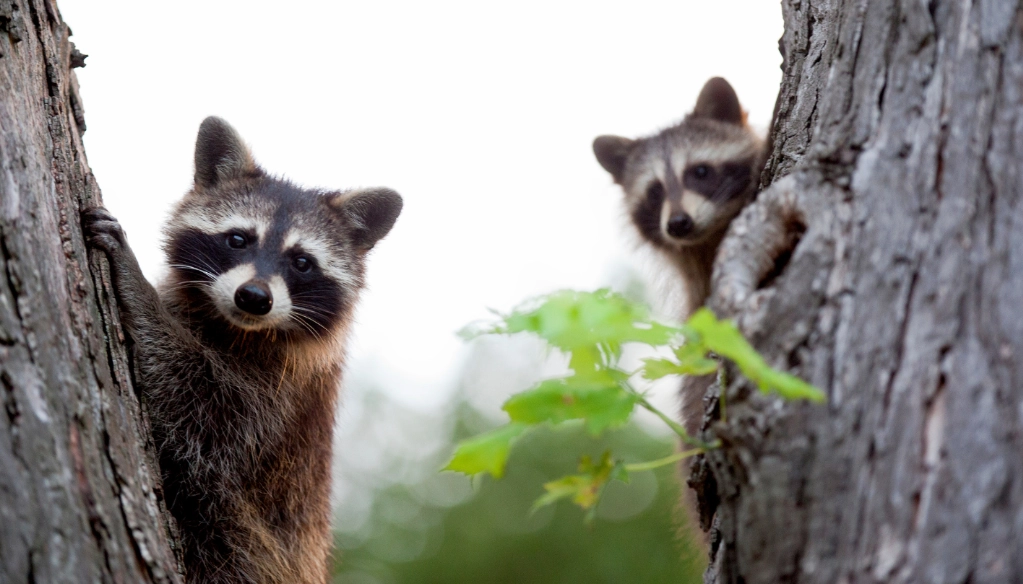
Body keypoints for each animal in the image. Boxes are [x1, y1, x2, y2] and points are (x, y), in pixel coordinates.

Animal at [82, 117, 402, 584]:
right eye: (238, 239)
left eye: (302, 262)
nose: (253, 297)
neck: (237, 326)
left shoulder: (278, 401)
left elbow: (199, 404)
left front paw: (137, 286)